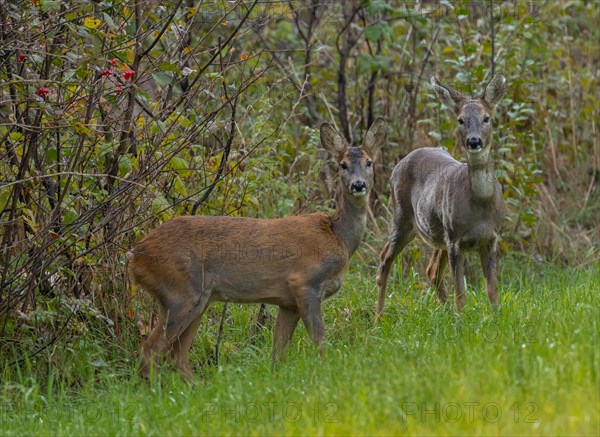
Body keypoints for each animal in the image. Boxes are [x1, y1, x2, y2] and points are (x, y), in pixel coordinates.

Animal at [129, 118, 386, 378]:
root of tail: (135, 257)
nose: (358, 185)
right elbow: (319, 341)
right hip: (179, 292)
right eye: (342, 165)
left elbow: (278, 354)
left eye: (369, 162)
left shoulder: (288, 302)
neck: (338, 235)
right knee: (150, 350)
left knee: (177, 357)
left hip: (200, 298)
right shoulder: (305, 282)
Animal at [378, 74, 508, 314]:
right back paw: (378, 316)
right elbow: (461, 293)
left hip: (437, 232)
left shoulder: (491, 237)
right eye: (460, 120)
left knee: (431, 271)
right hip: (403, 216)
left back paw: (444, 310)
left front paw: (496, 316)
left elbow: (492, 291)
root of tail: (401, 161)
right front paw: (462, 317)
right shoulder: (455, 239)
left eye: (486, 118)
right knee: (385, 260)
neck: (480, 206)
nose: (474, 141)